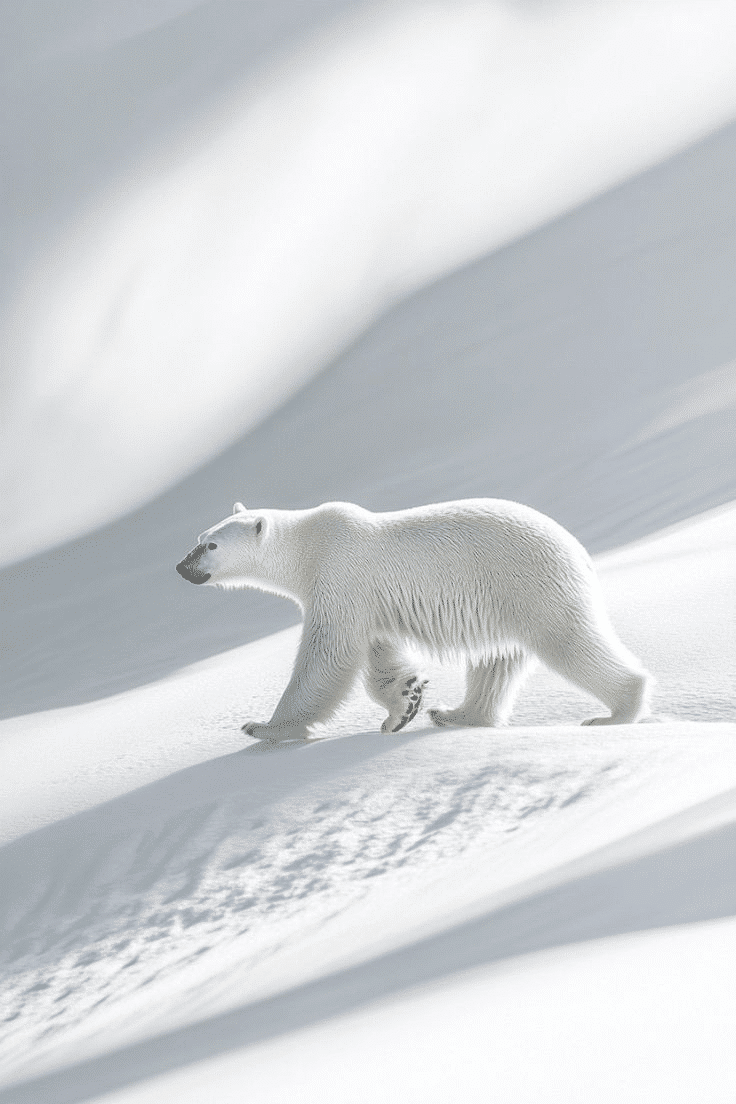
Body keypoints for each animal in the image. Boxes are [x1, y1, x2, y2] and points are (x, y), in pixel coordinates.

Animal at [176, 499, 651, 742]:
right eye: (199, 538)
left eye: (212, 546)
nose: (182, 567)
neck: (309, 548)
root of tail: (579, 550)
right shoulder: (370, 602)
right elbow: (380, 654)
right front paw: (406, 703)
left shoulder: (340, 577)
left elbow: (327, 656)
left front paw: (265, 726)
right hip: (503, 604)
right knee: (496, 662)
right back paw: (457, 715)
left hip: (529, 585)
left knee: (569, 642)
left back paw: (615, 714)